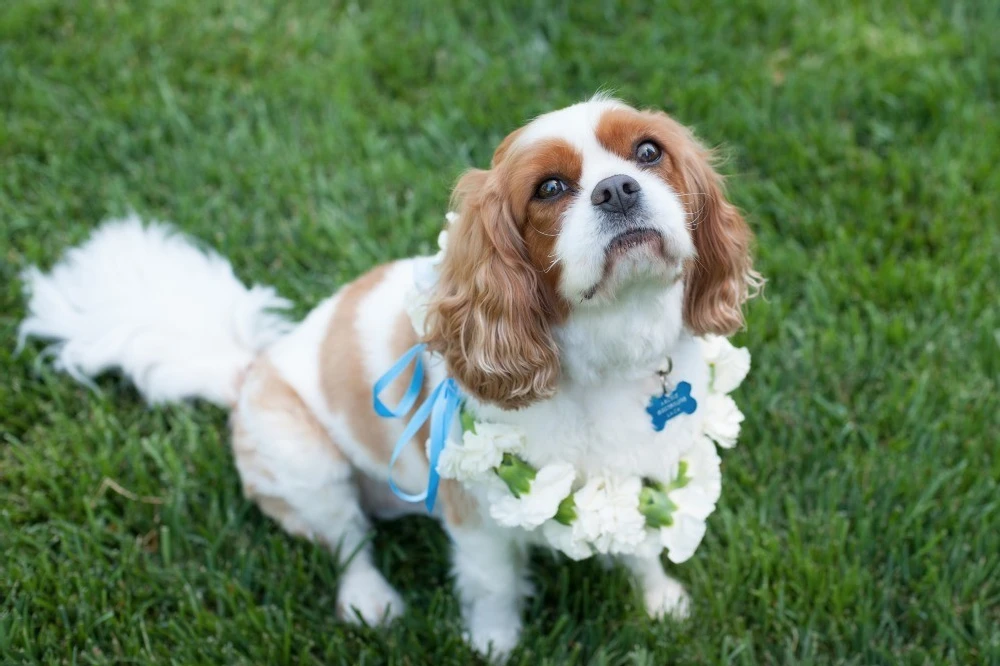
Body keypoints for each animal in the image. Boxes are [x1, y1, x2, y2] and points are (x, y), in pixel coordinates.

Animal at [19, 96, 760, 656]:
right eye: (550, 189)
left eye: (649, 153)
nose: (617, 189)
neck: (609, 354)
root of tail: (248, 368)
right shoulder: (473, 515)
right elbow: (492, 583)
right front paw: (494, 644)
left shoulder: (648, 466)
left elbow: (643, 543)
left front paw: (660, 600)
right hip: (304, 461)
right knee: (348, 542)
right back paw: (370, 601)